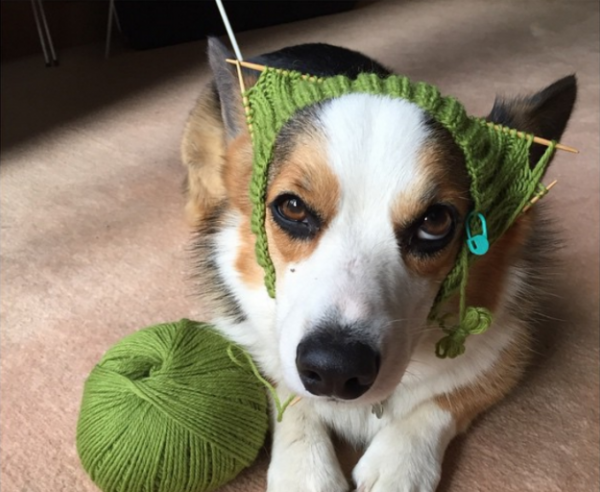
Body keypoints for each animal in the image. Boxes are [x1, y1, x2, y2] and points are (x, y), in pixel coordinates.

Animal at [182, 38, 576, 492]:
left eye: (435, 222)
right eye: (292, 208)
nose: (335, 370)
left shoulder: (506, 352)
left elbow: (444, 399)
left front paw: (400, 463)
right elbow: (288, 391)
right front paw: (305, 469)